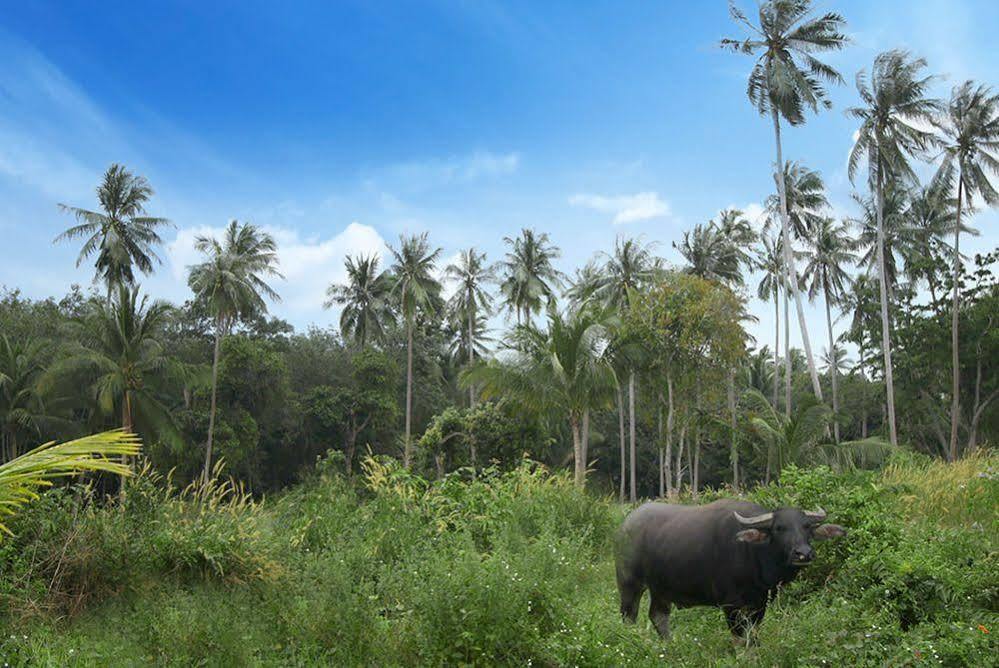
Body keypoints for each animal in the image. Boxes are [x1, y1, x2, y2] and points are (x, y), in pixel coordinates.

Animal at [616, 500, 844, 640]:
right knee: (629, 616)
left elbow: (753, 636)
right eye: (779, 528)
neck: (753, 554)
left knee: (658, 616)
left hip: (661, 589)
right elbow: (740, 638)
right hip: (629, 583)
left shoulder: (759, 604)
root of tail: (625, 525)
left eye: (807, 527)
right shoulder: (730, 605)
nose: (803, 553)